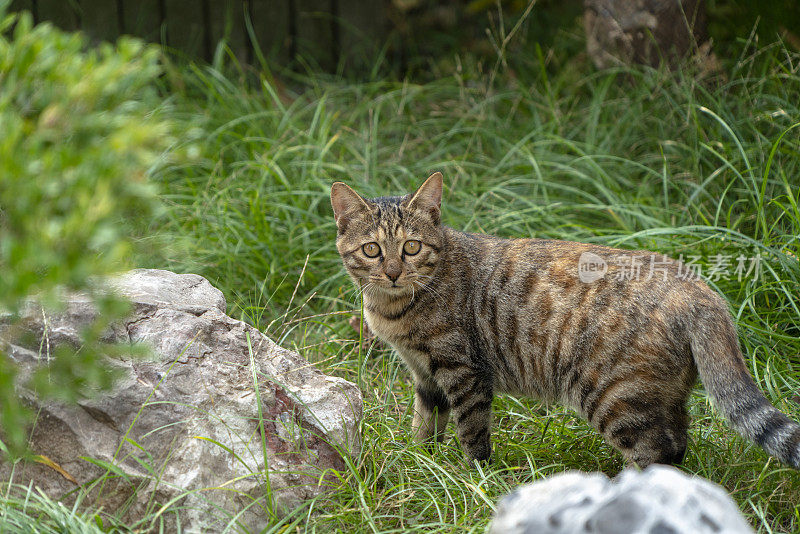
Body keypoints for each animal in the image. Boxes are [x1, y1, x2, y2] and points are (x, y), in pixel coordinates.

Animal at [330, 173, 800, 468]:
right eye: (372, 250)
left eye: (411, 247)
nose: (393, 272)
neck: (393, 311)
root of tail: (698, 287)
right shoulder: (424, 374)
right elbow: (425, 424)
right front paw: (422, 462)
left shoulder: (464, 371)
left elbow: (471, 433)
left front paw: (471, 476)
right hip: (659, 395)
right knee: (679, 440)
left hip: (615, 397)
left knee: (657, 451)